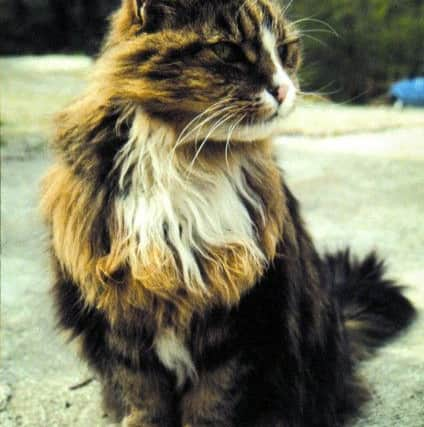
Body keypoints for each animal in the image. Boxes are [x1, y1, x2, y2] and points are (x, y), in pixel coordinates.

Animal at [41, 0, 416, 427]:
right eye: (226, 51)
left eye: (284, 51)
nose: (283, 89)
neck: (186, 159)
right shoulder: (121, 313)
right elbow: (141, 397)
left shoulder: (243, 316)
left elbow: (213, 399)